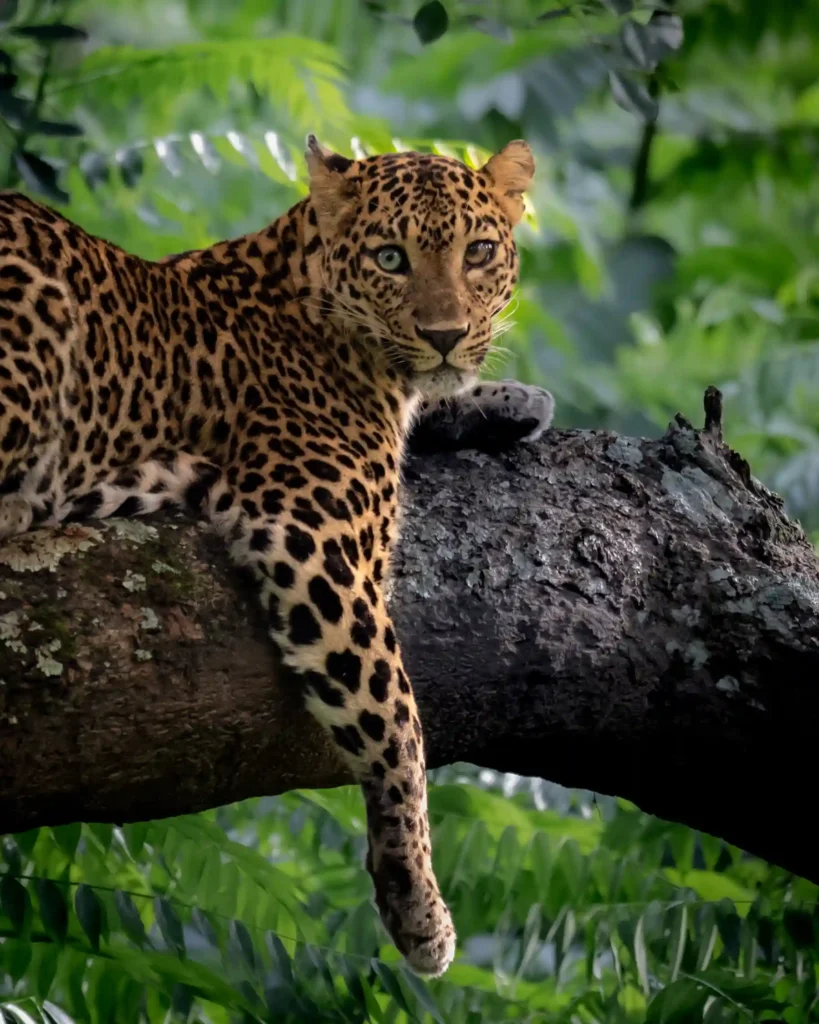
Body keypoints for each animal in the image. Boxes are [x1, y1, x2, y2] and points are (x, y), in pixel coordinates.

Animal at [0, 136, 552, 974]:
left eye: (478, 251)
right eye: (390, 258)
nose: (445, 334)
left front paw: (509, 399)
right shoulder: (313, 535)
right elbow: (397, 721)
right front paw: (418, 906)